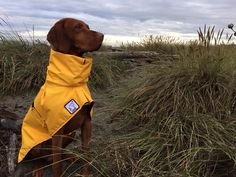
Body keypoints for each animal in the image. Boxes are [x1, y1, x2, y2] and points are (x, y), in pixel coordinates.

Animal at [15, 18, 102, 177]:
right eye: (77, 27)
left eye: (88, 27)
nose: (102, 35)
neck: (71, 84)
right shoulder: (57, 132)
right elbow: (57, 167)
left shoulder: (87, 123)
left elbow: (87, 156)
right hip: (37, 145)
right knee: (42, 159)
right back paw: (38, 168)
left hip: (71, 134)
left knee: (59, 154)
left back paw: (71, 156)